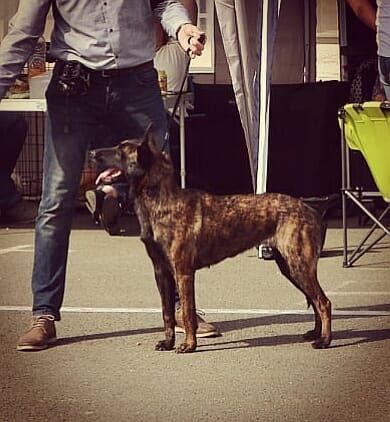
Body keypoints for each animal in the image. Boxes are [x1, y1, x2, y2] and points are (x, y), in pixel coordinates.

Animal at [89, 124, 332, 352]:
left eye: (120, 151)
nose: (91, 153)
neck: (161, 201)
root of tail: (311, 210)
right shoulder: (162, 273)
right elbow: (167, 314)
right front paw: (168, 343)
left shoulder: (183, 273)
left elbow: (188, 312)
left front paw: (189, 345)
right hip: (290, 268)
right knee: (315, 301)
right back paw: (315, 333)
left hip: (298, 266)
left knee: (323, 302)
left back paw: (325, 340)